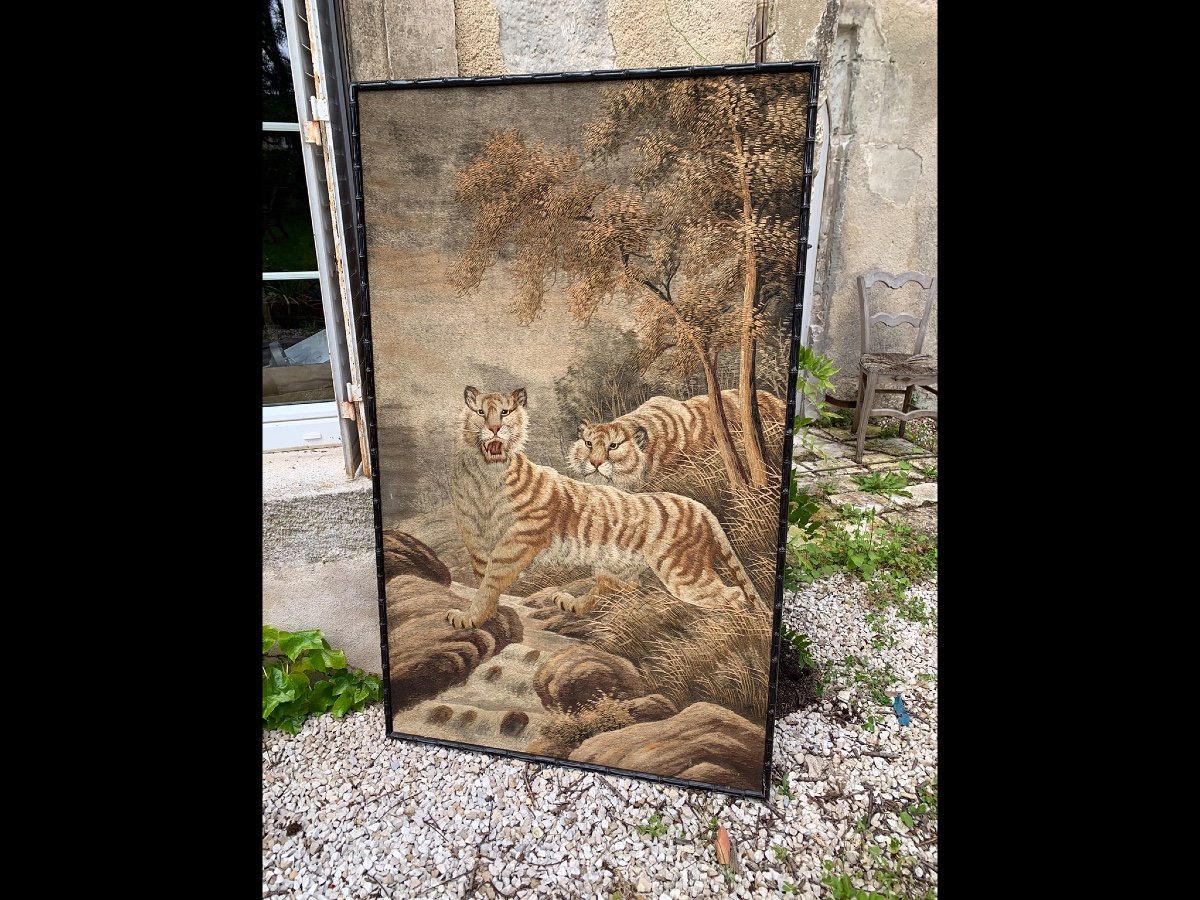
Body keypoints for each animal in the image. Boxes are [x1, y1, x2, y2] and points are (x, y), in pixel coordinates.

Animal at [446, 384, 763, 628]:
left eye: (505, 412)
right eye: (480, 412)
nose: (494, 428)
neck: (485, 477)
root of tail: (702, 508)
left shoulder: (518, 540)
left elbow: (490, 581)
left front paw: (469, 617)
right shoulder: (475, 539)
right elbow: (481, 579)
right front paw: (487, 616)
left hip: (683, 573)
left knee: (733, 596)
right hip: (618, 566)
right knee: (619, 587)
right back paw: (572, 602)